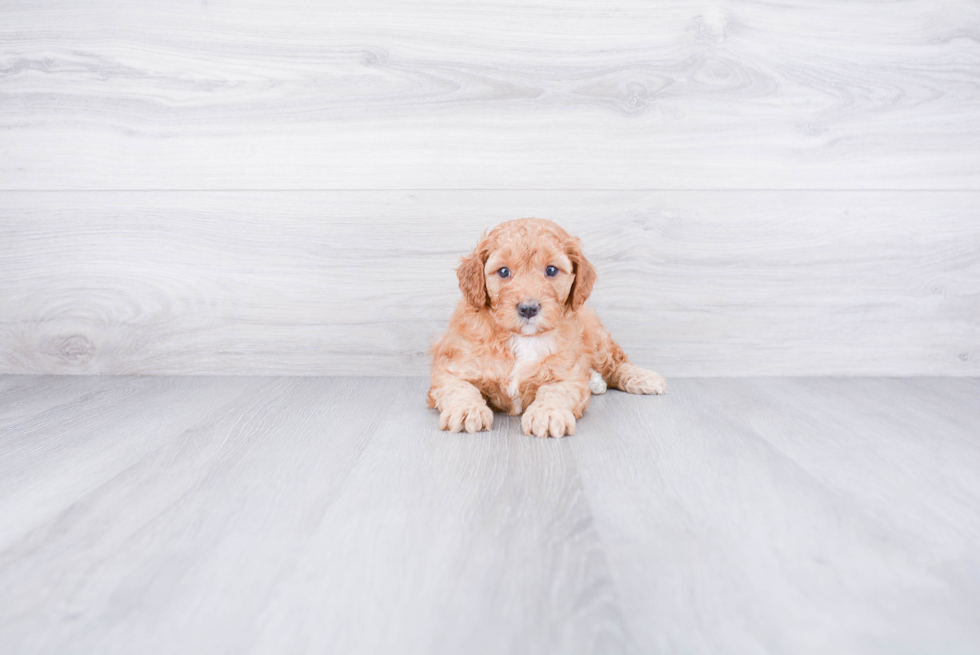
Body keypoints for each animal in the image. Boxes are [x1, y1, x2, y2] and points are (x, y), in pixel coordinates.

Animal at [426, 218, 668, 438]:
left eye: (551, 270)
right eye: (503, 272)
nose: (528, 308)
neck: (523, 338)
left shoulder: (567, 375)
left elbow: (554, 390)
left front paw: (548, 415)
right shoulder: (452, 367)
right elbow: (460, 388)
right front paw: (467, 410)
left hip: (597, 341)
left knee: (616, 363)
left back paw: (644, 378)